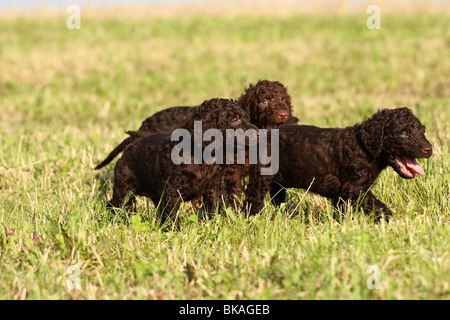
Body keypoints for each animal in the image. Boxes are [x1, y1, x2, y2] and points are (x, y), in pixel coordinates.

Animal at [96, 79, 298, 199]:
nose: (284, 114)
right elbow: (234, 196)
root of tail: (144, 125)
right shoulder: (232, 172)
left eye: (285, 101)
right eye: (264, 101)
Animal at [108, 99, 256, 226]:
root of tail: (130, 146)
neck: (202, 155)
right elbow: (172, 213)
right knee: (120, 205)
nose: (258, 133)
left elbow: (214, 208)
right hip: (124, 186)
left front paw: (215, 224)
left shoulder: (214, 186)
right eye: (234, 119)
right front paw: (173, 230)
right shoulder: (172, 189)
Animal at [243, 106, 432, 221]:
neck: (365, 147)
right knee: (253, 198)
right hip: (261, 175)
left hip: (279, 182)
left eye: (422, 131)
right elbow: (376, 205)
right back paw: (250, 219)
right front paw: (390, 220)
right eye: (404, 133)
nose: (429, 149)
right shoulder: (354, 188)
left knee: (277, 199)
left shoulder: (344, 193)